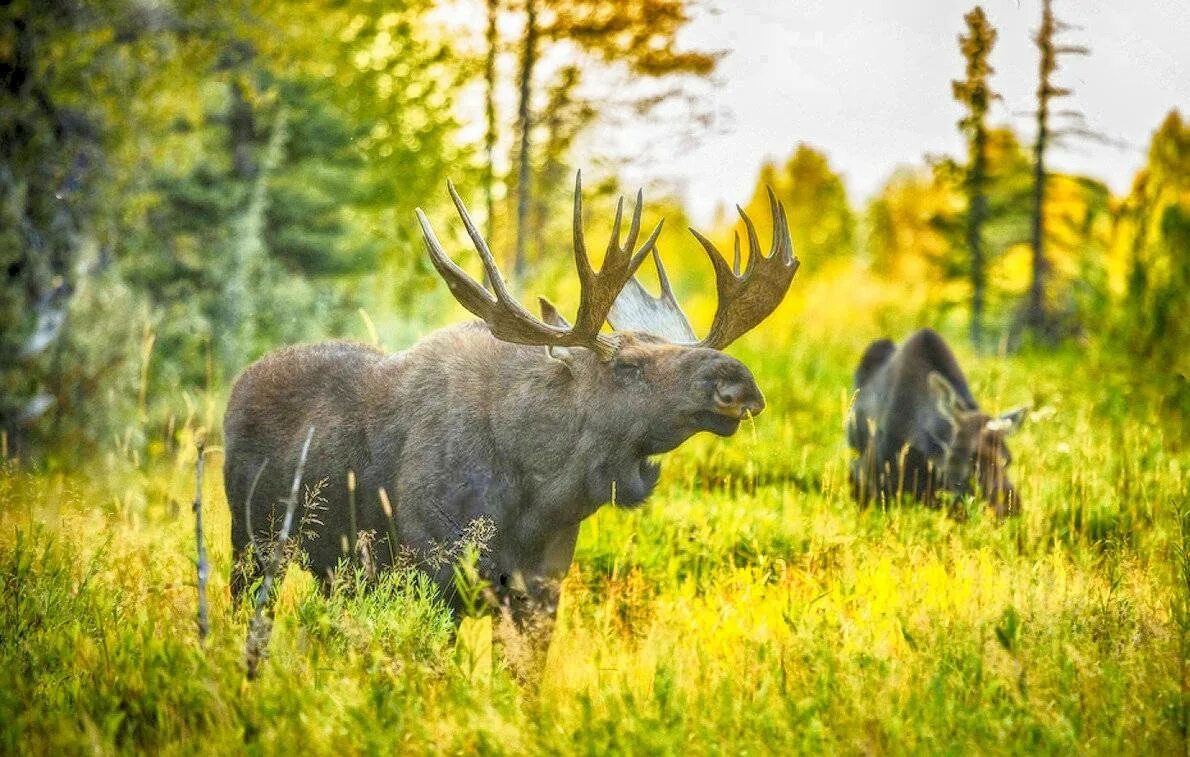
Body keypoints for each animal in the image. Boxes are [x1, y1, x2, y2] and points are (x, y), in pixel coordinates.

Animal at [223, 172, 799, 652]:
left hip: (334, 570)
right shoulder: (437, 575)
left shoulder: (540, 589)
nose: (737, 382)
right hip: (252, 541)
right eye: (629, 365)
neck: (540, 493)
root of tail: (236, 387)